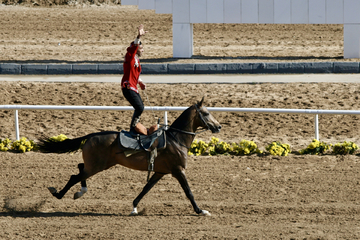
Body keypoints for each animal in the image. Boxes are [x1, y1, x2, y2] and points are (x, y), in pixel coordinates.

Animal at [38, 97, 221, 216]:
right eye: (206, 113)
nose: (218, 126)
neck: (176, 139)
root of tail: (93, 135)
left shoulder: (160, 172)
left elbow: (146, 188)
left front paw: (134, 207)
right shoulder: (178, 170)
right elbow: (189, 192)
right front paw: (200, 210)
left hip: (98, 164)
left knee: (80, 169)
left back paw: (79, 191)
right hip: (97, 166)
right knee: (75, 176)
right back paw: (60, 193)